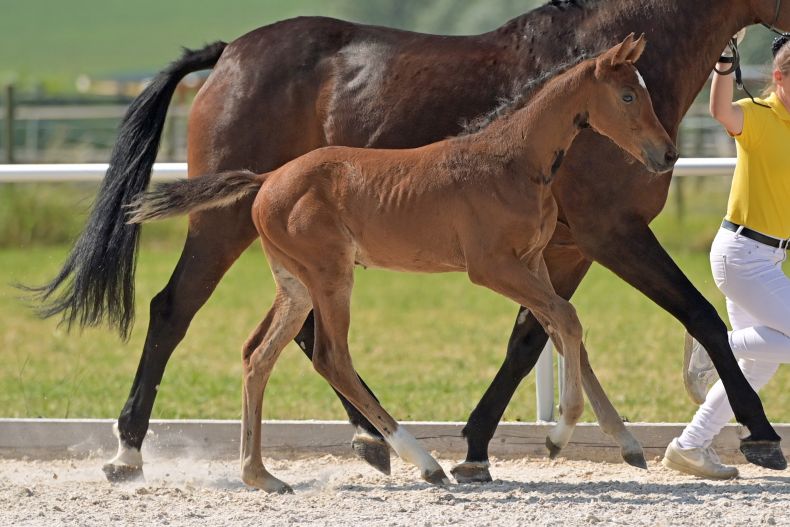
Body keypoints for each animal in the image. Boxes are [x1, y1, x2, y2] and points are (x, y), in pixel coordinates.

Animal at [130, 36, 676, 490]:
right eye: (628, 96)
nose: (667, 154)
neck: (513, 160)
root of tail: (265, 180)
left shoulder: (533, 264)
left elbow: (566, 333)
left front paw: (625, 444)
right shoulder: (493, 268)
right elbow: (567, 319)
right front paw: (558, 436)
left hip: (296, 284)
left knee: (257, 354)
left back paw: (260, 475)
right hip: (331, 276)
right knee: (331, 356)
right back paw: (424, 463)